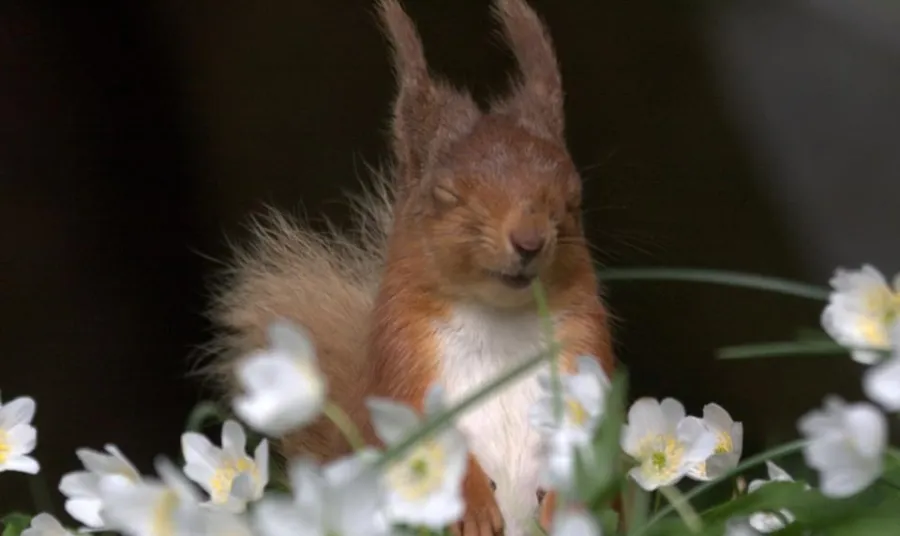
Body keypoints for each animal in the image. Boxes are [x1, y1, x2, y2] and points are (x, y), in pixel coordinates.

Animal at [205, 0, 616, 535]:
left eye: (573, 198)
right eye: (446, 194)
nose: (529, 241)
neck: (500, 318)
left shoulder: (584, 346)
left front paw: (573, 498)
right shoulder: (402, 356)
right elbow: (419, 434)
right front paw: (470, 505)